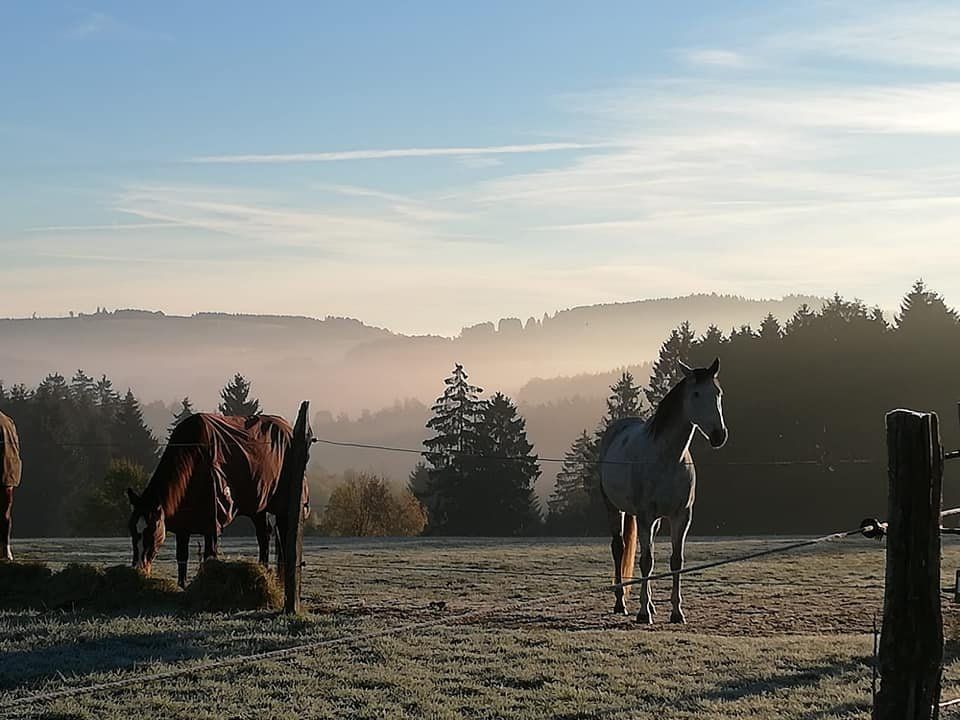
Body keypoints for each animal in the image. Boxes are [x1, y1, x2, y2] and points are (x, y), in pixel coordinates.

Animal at [125, 414, 310, 588]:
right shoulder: (183, 526)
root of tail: (288, 430)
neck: (194, 461)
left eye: (150, 531)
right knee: (264, 535)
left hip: (282, 508)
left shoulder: (211, 526)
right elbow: (182, 558)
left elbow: (209, 556)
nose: (140, 569)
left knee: (284, 538)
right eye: (133, 531)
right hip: (258, 508)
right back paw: (263, 571)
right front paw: (181, 586)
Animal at [600, 360, 728, 624]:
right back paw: (621, 603)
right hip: (614, 508)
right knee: (619, 548)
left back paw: (649, 604)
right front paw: (642, 613)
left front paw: (676, 612)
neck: (668, 458)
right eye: (696, 394)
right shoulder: (645, 515)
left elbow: (675, 561)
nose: (719, 435)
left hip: (654, 520)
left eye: (718, 393)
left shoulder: (681, 516)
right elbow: (646, 561)